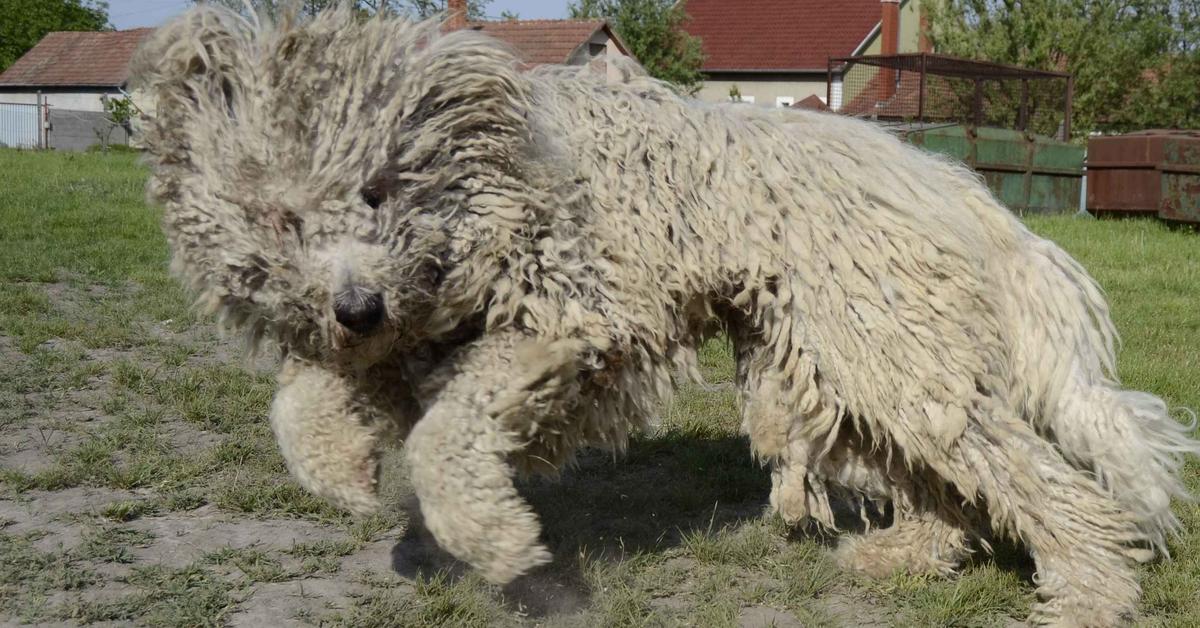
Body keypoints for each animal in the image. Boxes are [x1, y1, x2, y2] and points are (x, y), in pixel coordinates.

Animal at [133, 4, 1200, 624]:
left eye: (377, 190)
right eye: (280, 217)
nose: (357, 304)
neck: (480, 175)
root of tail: (953, 185)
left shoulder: (565, 318)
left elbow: (444, 438)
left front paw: (498, 541)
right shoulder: (406, 325)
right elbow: (304, 395)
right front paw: (339, 461)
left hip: (887, 348)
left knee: (1037, 478)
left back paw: (1090, 589)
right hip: (838, 358)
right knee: (948, 484)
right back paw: (908, 553)